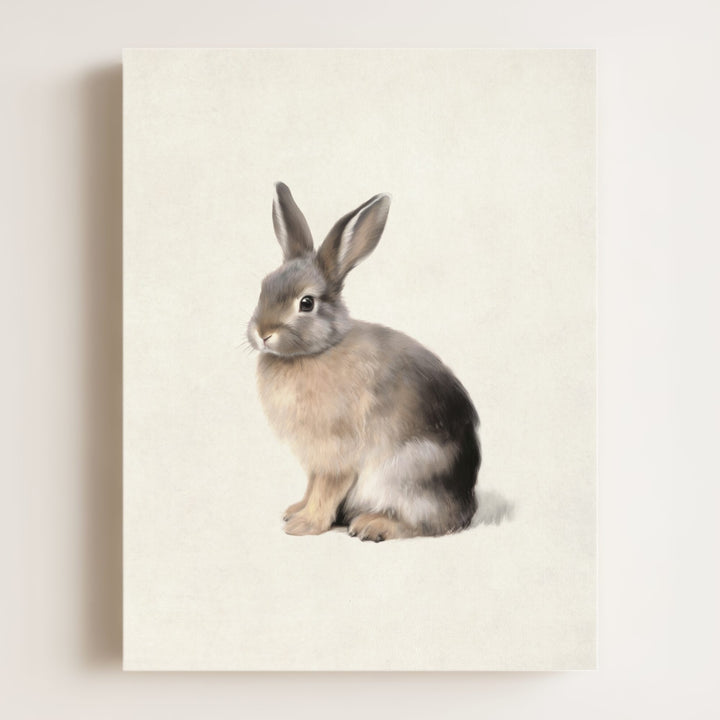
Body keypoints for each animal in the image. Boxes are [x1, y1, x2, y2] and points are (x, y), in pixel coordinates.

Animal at [247, 183, 481, 541]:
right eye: (264, 287)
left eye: (306, 303)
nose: (262, 333)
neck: (319, 350)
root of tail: (466, 506)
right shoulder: (316, 459)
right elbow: (312, 486)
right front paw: (295, 511)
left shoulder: (336, 453)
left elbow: (327, 488)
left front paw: (304, 525)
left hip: (404, 473)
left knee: (425, 524)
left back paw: (372, 525)